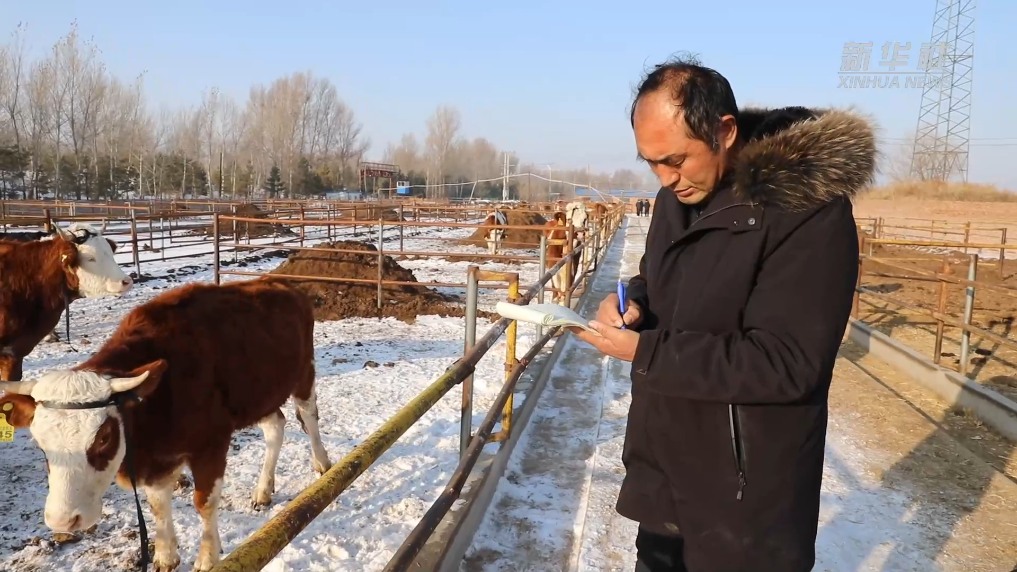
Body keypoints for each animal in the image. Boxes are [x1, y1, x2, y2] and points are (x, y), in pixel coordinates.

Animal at [0, 279, 334, 572]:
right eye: (40, 445)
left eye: (104, 437)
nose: (63, 521)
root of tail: (283, 284)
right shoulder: (157, 461)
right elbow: (158, 505)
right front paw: (164, 556)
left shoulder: (211, 444)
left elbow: (204, 502)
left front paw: (207, 558)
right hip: (258, 395)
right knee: (275, 426)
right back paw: (263, 490)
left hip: (304, 374)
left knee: (310, 416)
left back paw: (323, 464)